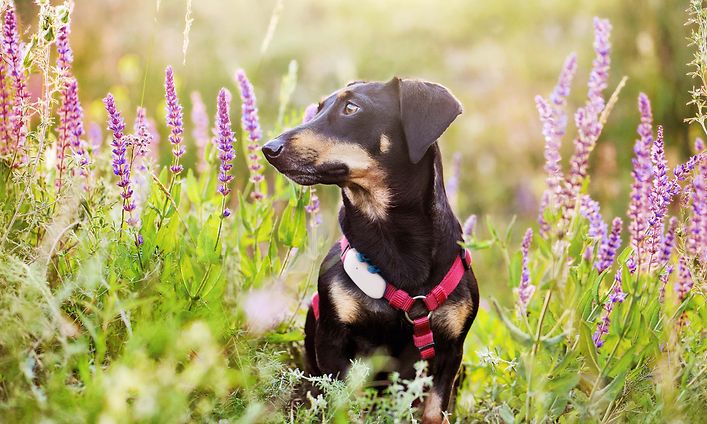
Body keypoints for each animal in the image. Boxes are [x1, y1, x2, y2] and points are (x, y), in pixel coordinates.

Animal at [264, 78, 482, 422]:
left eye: (351, 107)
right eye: (319, 107)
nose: (269, 148)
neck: (393, 238)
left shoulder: (450, 351)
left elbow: (434, 411)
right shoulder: (334, 343)